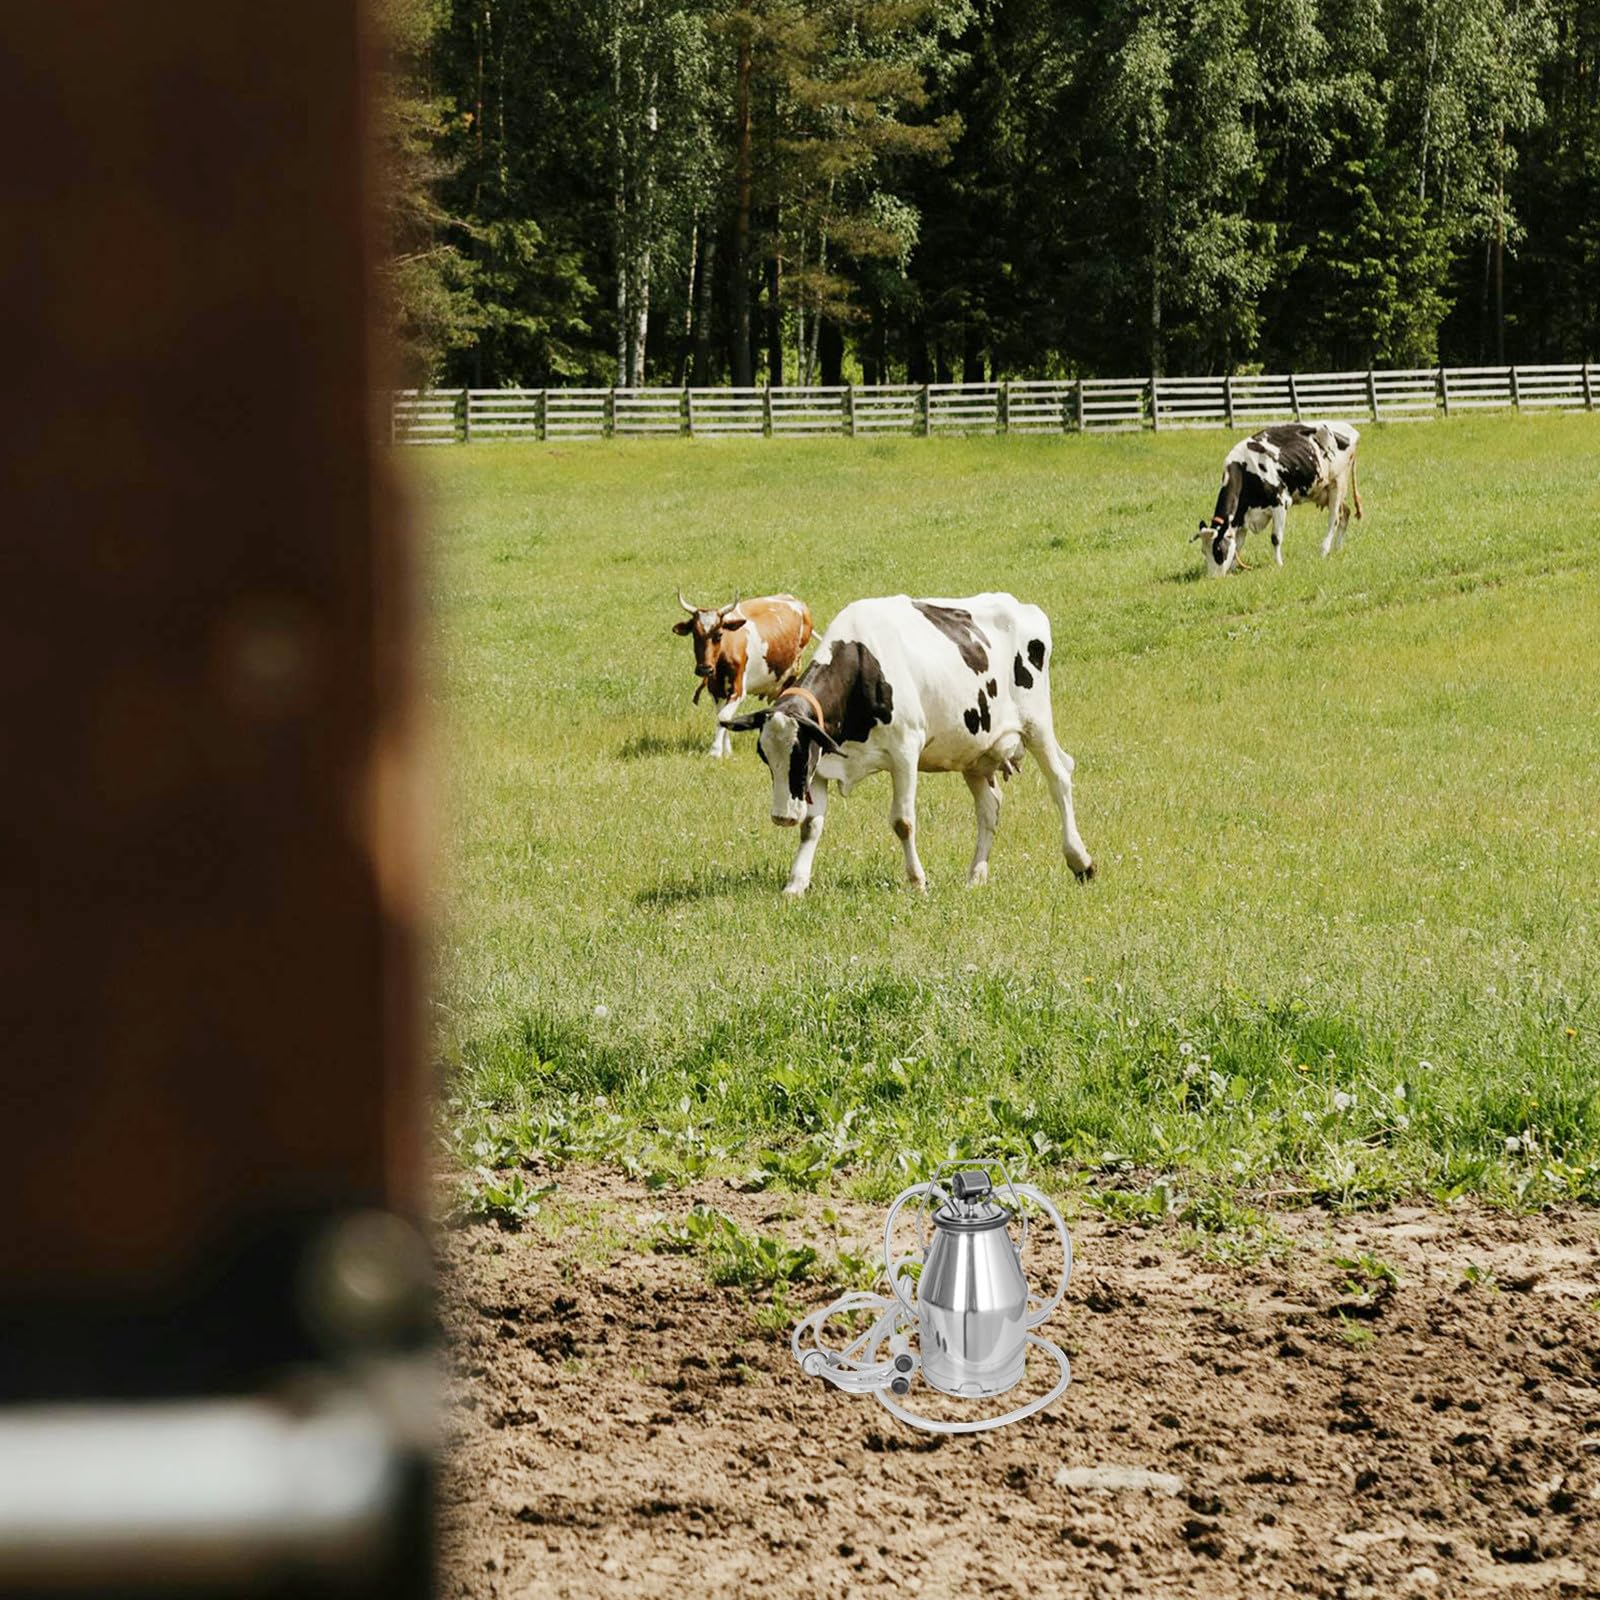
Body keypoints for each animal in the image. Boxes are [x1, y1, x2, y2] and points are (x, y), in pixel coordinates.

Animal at [673, 591, 814, 757]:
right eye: (694, 634)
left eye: (719, 634)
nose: (704, 669)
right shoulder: (716, 690)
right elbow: (723, 717)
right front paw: (727, 751)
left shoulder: (738, 689)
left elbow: (723, 716)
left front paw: (715, 751)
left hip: (791, 675)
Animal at [723, 593, 1095, 897]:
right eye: (765, 757)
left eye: (798, 754)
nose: (782, 816)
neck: (861, 663)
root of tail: (1024, 608)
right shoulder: (823, 762)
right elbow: (811, 826)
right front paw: (796, 883)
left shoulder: (904, 751)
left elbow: (903, 821)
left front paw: (917, 880)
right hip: (975, 750)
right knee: (989, 807)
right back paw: (976, 875)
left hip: (1037, 723)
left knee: (1060, 779)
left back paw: (1080, 861)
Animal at [1194, 422, 1363, 576]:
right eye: (1203, 550)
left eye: (1218, 550)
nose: (1213, 578)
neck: (1245, 470)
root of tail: (1348, 427)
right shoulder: (1242, 516)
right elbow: (1238, 544)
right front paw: (1233, 568)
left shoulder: (1280, 503)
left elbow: (1276, 538)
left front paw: (1279, 564)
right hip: (1324, 491)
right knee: (1345, 513)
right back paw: (1337, 549)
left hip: (1338, 483)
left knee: (1334, 519)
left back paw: (1324, 550)